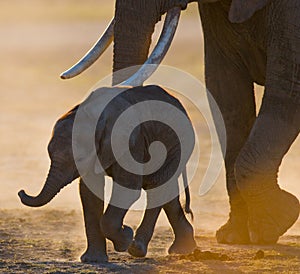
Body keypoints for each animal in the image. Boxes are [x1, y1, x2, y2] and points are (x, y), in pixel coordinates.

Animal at [18, 85, 197, 262]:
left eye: (80, 159)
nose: (21, 191)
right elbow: (89, 194)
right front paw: (93, 259)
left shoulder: (131, 144)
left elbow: (128, 190)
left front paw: (125, 238)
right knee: (165, 190)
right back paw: (182, 249)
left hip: (178, 143)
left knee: (157, 187)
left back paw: (137, 248)